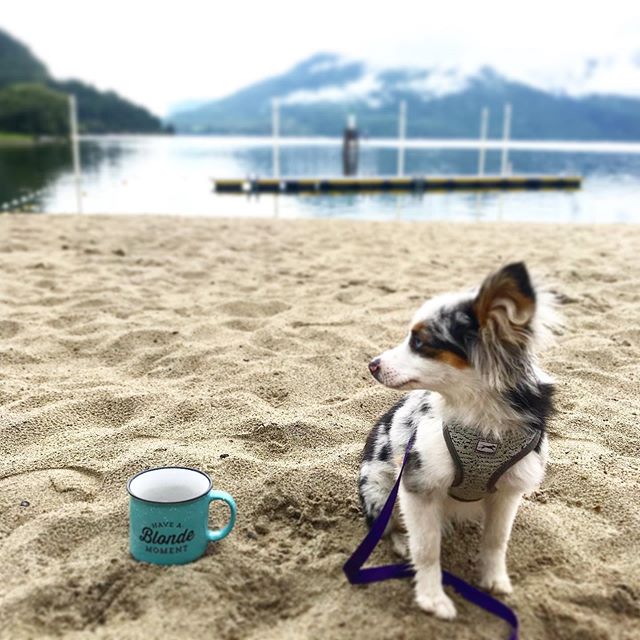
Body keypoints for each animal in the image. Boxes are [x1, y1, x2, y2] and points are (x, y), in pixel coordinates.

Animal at [358, 262, 556, 620]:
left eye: (419, 341)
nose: (372, 365)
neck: (481, 422)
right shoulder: (418, 484)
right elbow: (426, 549)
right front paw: (432, 597)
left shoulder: (508, 491)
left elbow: (496, 540)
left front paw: (494, 580)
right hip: (379, 490)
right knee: (388, 528)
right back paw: (402, 542)